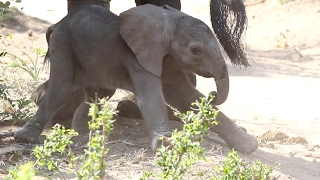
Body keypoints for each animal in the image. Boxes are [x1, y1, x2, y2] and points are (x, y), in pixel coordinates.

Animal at [15, 3, 260, 153]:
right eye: (195, 50)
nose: (213, 91)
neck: (167, 23)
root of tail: (57, 23)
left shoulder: (167, 60)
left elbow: (188, 97)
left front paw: (249, 146)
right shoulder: (137, 59)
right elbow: (152, 99)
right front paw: (166, 144)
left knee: (96, 94)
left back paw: (86, 135)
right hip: (63, 46)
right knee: (60, 89)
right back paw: (25, 138)